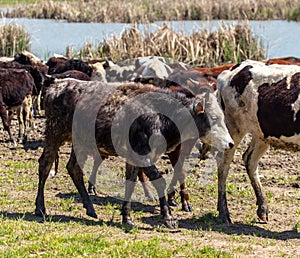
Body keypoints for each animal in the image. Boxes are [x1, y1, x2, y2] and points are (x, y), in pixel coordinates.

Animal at [34, 78, 233, 228]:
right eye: (213, 117)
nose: (230, 143)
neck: (161, 116)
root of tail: (55, 85)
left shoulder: (134, 157)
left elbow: (131, 182)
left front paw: (127, 218)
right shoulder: (142, 155)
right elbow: (159, 181)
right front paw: (168, 217)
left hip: (80, 142)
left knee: (74, 168)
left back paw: (90, 208)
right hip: (54, 133)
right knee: (45, 165)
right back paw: (40, 207)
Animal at [217, 59, 300, 224]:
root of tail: (236, 68)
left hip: (262, 133)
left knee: (249, 159)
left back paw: (262, 208)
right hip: (233, 127)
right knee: (223, 166)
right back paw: (224, 213)